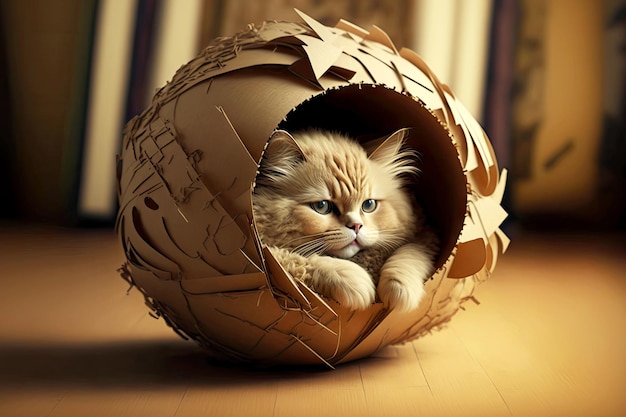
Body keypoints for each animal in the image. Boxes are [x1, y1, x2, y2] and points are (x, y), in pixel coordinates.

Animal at [251, 128, 436, 310]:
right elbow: (297, 260)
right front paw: (357, 281)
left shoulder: (425, 235)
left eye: (369, 205)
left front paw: (398, 289)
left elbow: (409, 254)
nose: (356, 226)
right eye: (321, 206)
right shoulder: (266, 252)